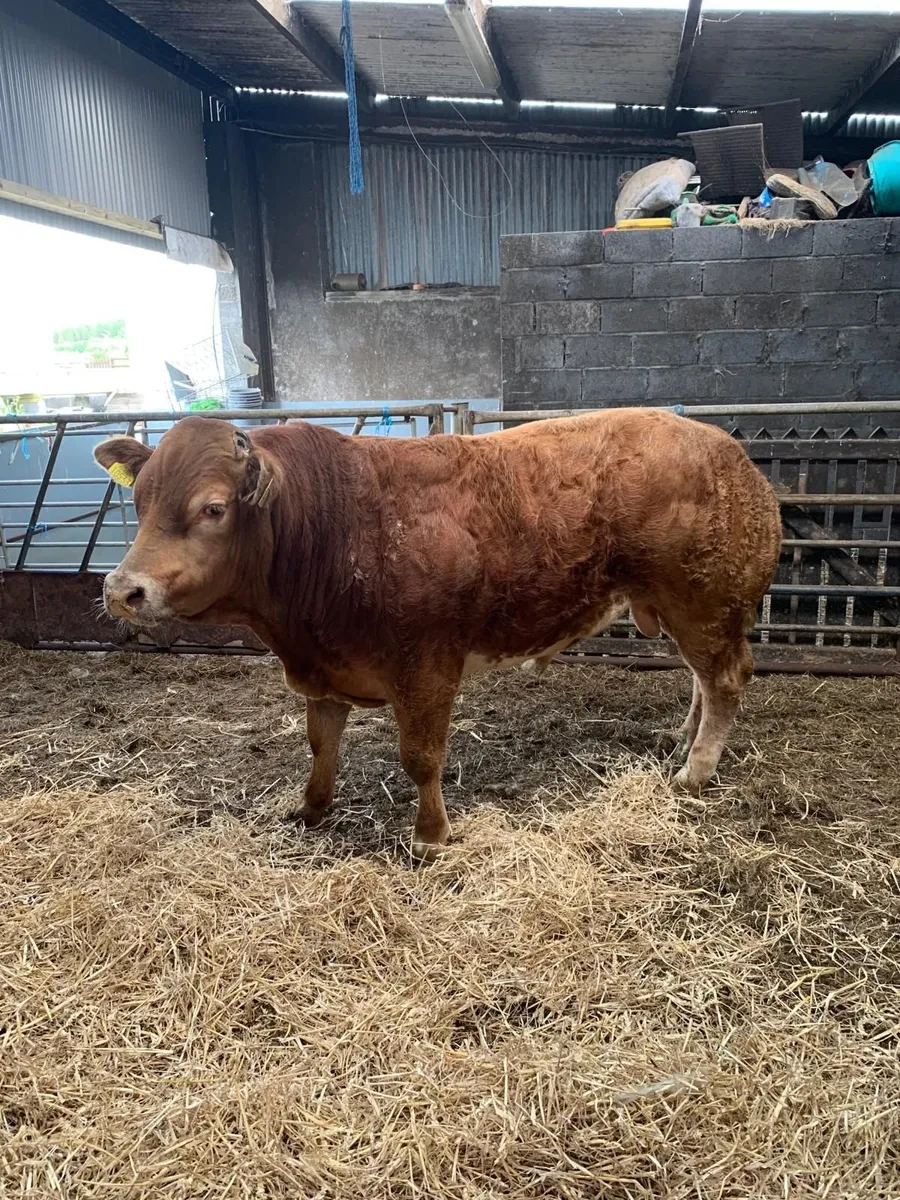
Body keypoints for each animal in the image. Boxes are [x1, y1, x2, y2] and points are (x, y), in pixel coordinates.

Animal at [95, 409, 782, 861]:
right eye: (141, 501)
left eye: (213, 508)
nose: (122, 589)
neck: (337, 527)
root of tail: (730, 452)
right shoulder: (324, 670)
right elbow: (321, 745)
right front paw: (312, 809)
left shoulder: (425, 667)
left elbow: (421, 757)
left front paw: (430, 836)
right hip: (686, 611)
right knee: (700, 680)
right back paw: (682, 742)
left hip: (703, 603)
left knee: (725, 679)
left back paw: (695, 770)